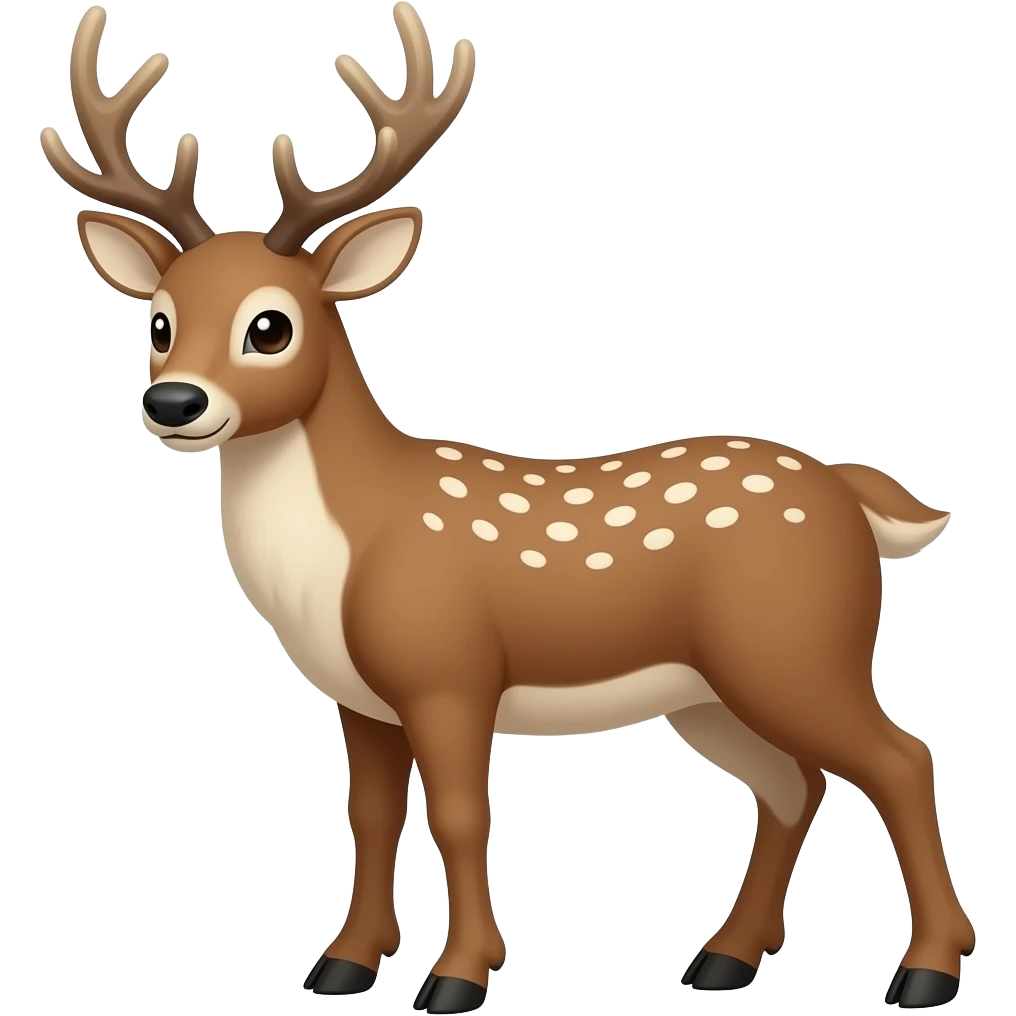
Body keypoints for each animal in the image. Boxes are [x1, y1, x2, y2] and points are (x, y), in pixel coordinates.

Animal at [38, 3, 974, 1012]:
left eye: (270, 326)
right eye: (159, 322)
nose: (173, 403)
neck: (348, 549)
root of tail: (849, 491)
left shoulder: (449, 669)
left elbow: (458, 815)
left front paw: (458, 977)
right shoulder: (360, 697)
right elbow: (370, 815)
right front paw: (345, 964)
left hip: (795, 645)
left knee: (899, 759)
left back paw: (925, 970)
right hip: (713, 689)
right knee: (793, 783)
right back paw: (726, 957)